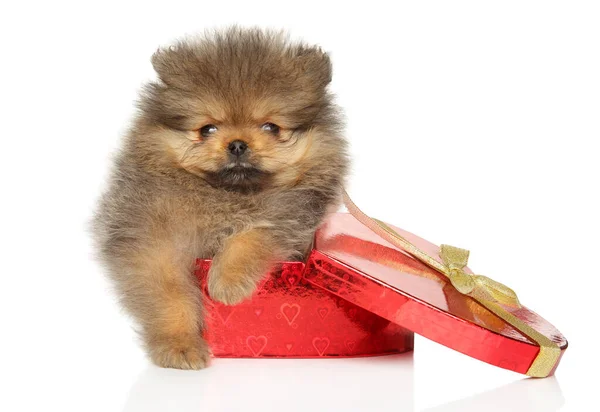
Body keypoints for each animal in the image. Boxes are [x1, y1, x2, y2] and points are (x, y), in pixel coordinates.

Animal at [92, 29, 350, 370]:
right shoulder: (154, 244)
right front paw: (180, 345)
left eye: (271, 127)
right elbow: (171, 295)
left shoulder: (290, 217)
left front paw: (226, 282)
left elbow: (253, 235)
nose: (237, 144)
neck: (227, 198)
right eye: (207, 129)